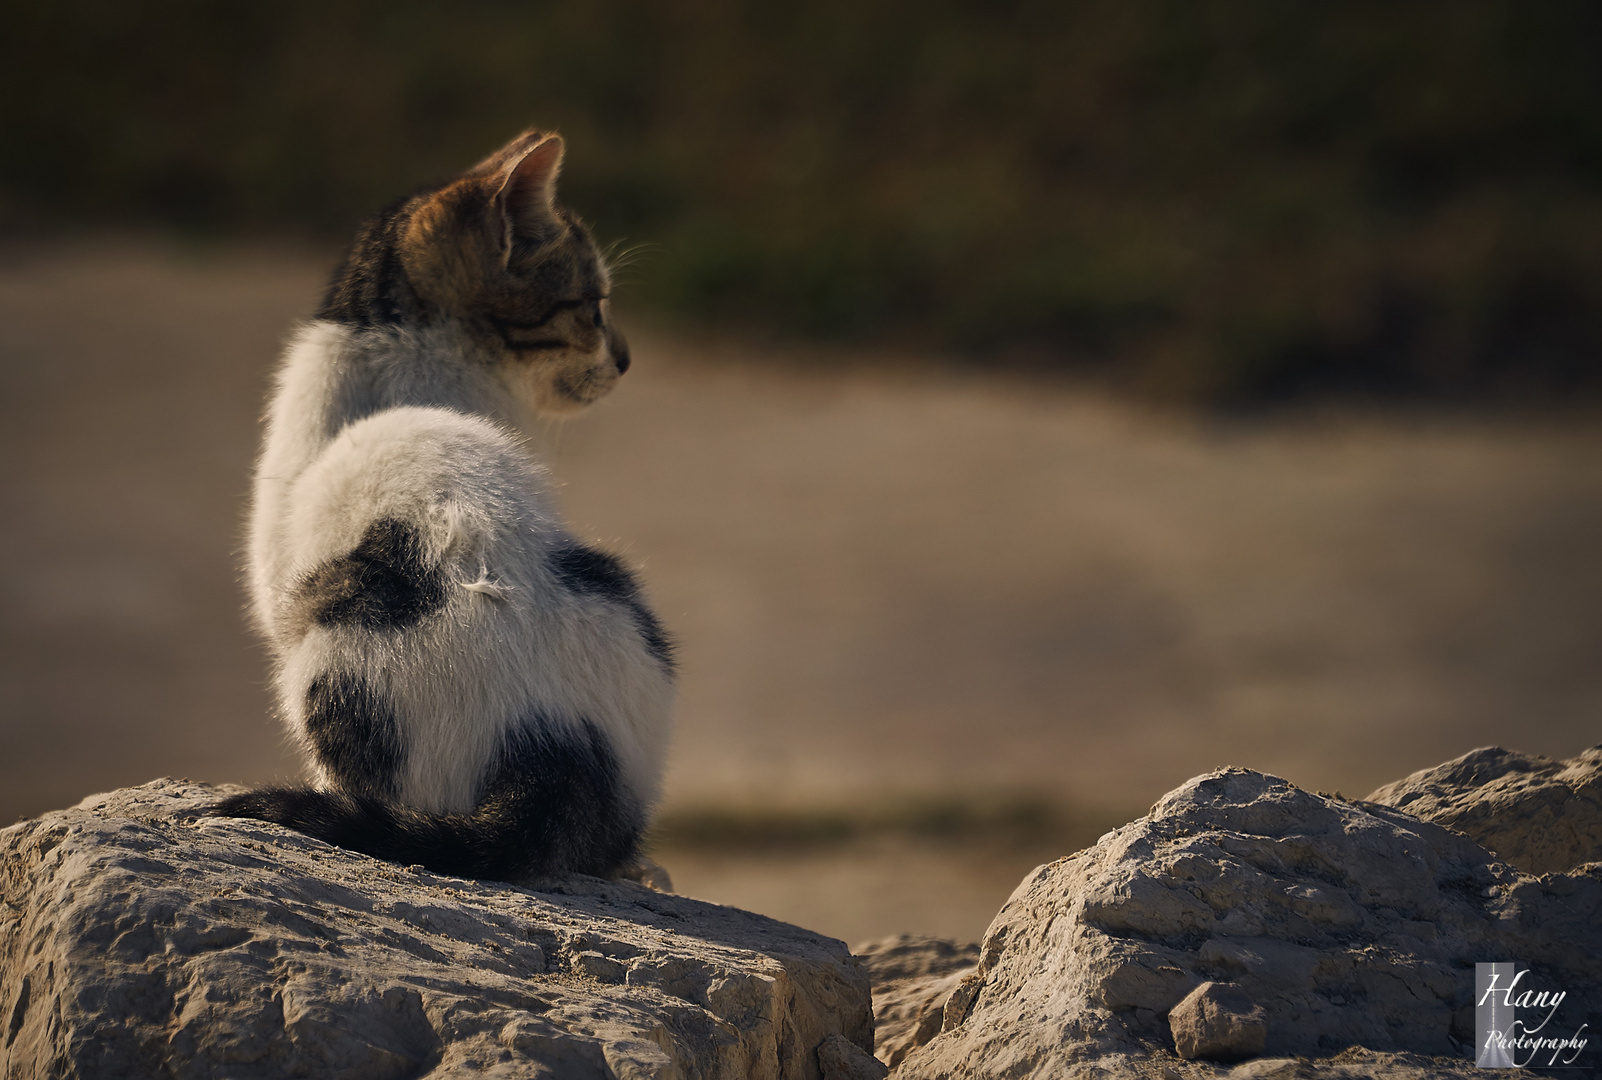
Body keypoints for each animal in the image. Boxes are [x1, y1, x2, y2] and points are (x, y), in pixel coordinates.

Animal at [209, 128, 672, 884]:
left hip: (325, 646)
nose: (627, 358)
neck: (409, 341)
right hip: (621, 596)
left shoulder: (281, 591)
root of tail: (552, 748)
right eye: (592, 305)